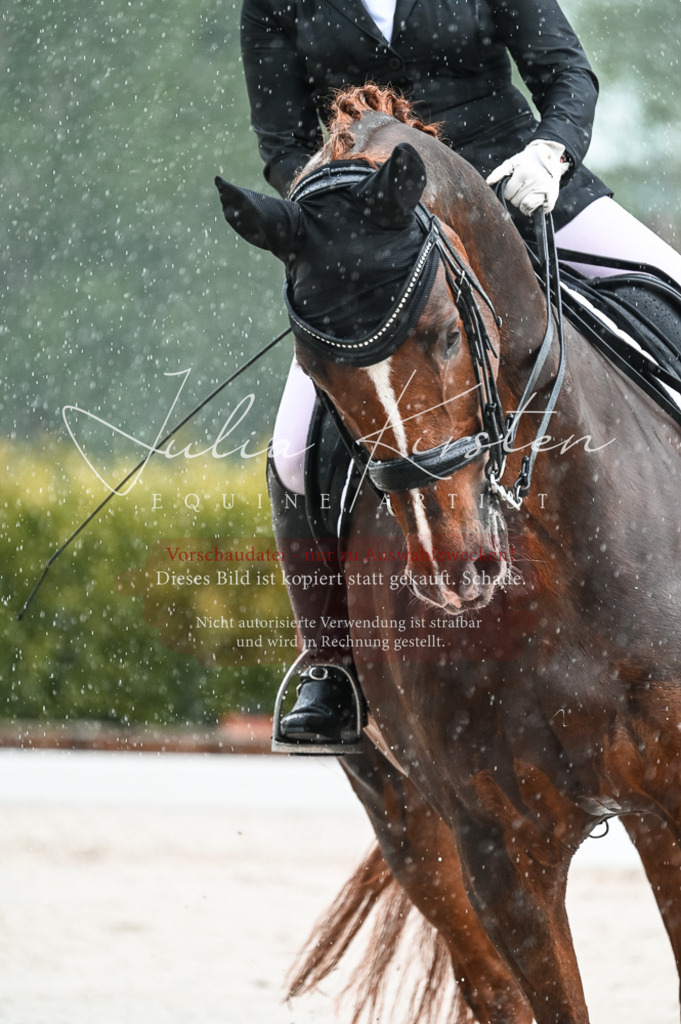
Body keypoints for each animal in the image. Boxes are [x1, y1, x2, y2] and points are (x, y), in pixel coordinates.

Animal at [216, 85, 681, 1024]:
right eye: (314, 365)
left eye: (442, 333)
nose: (452, 564)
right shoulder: (498, 848)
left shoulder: (676, 803)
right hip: (397, 808)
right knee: (485, 983)